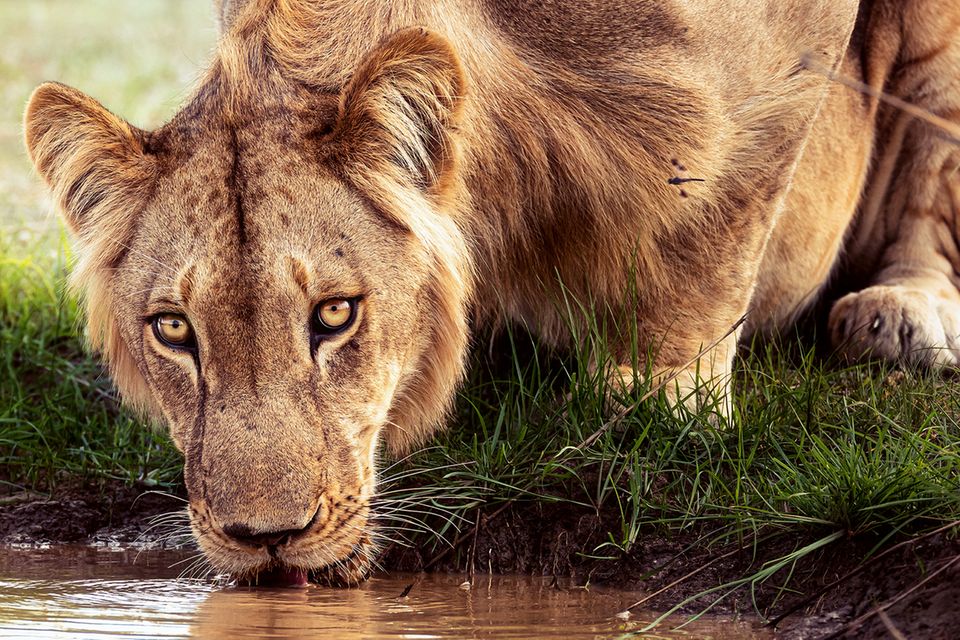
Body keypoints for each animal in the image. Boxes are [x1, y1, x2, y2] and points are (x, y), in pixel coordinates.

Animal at [22, 0, 960, 584]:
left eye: (335, 315)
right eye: (174, 330)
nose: (266, 542)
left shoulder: (776, 66)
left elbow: (720, 222)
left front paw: (662, 407)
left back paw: (903, 315)